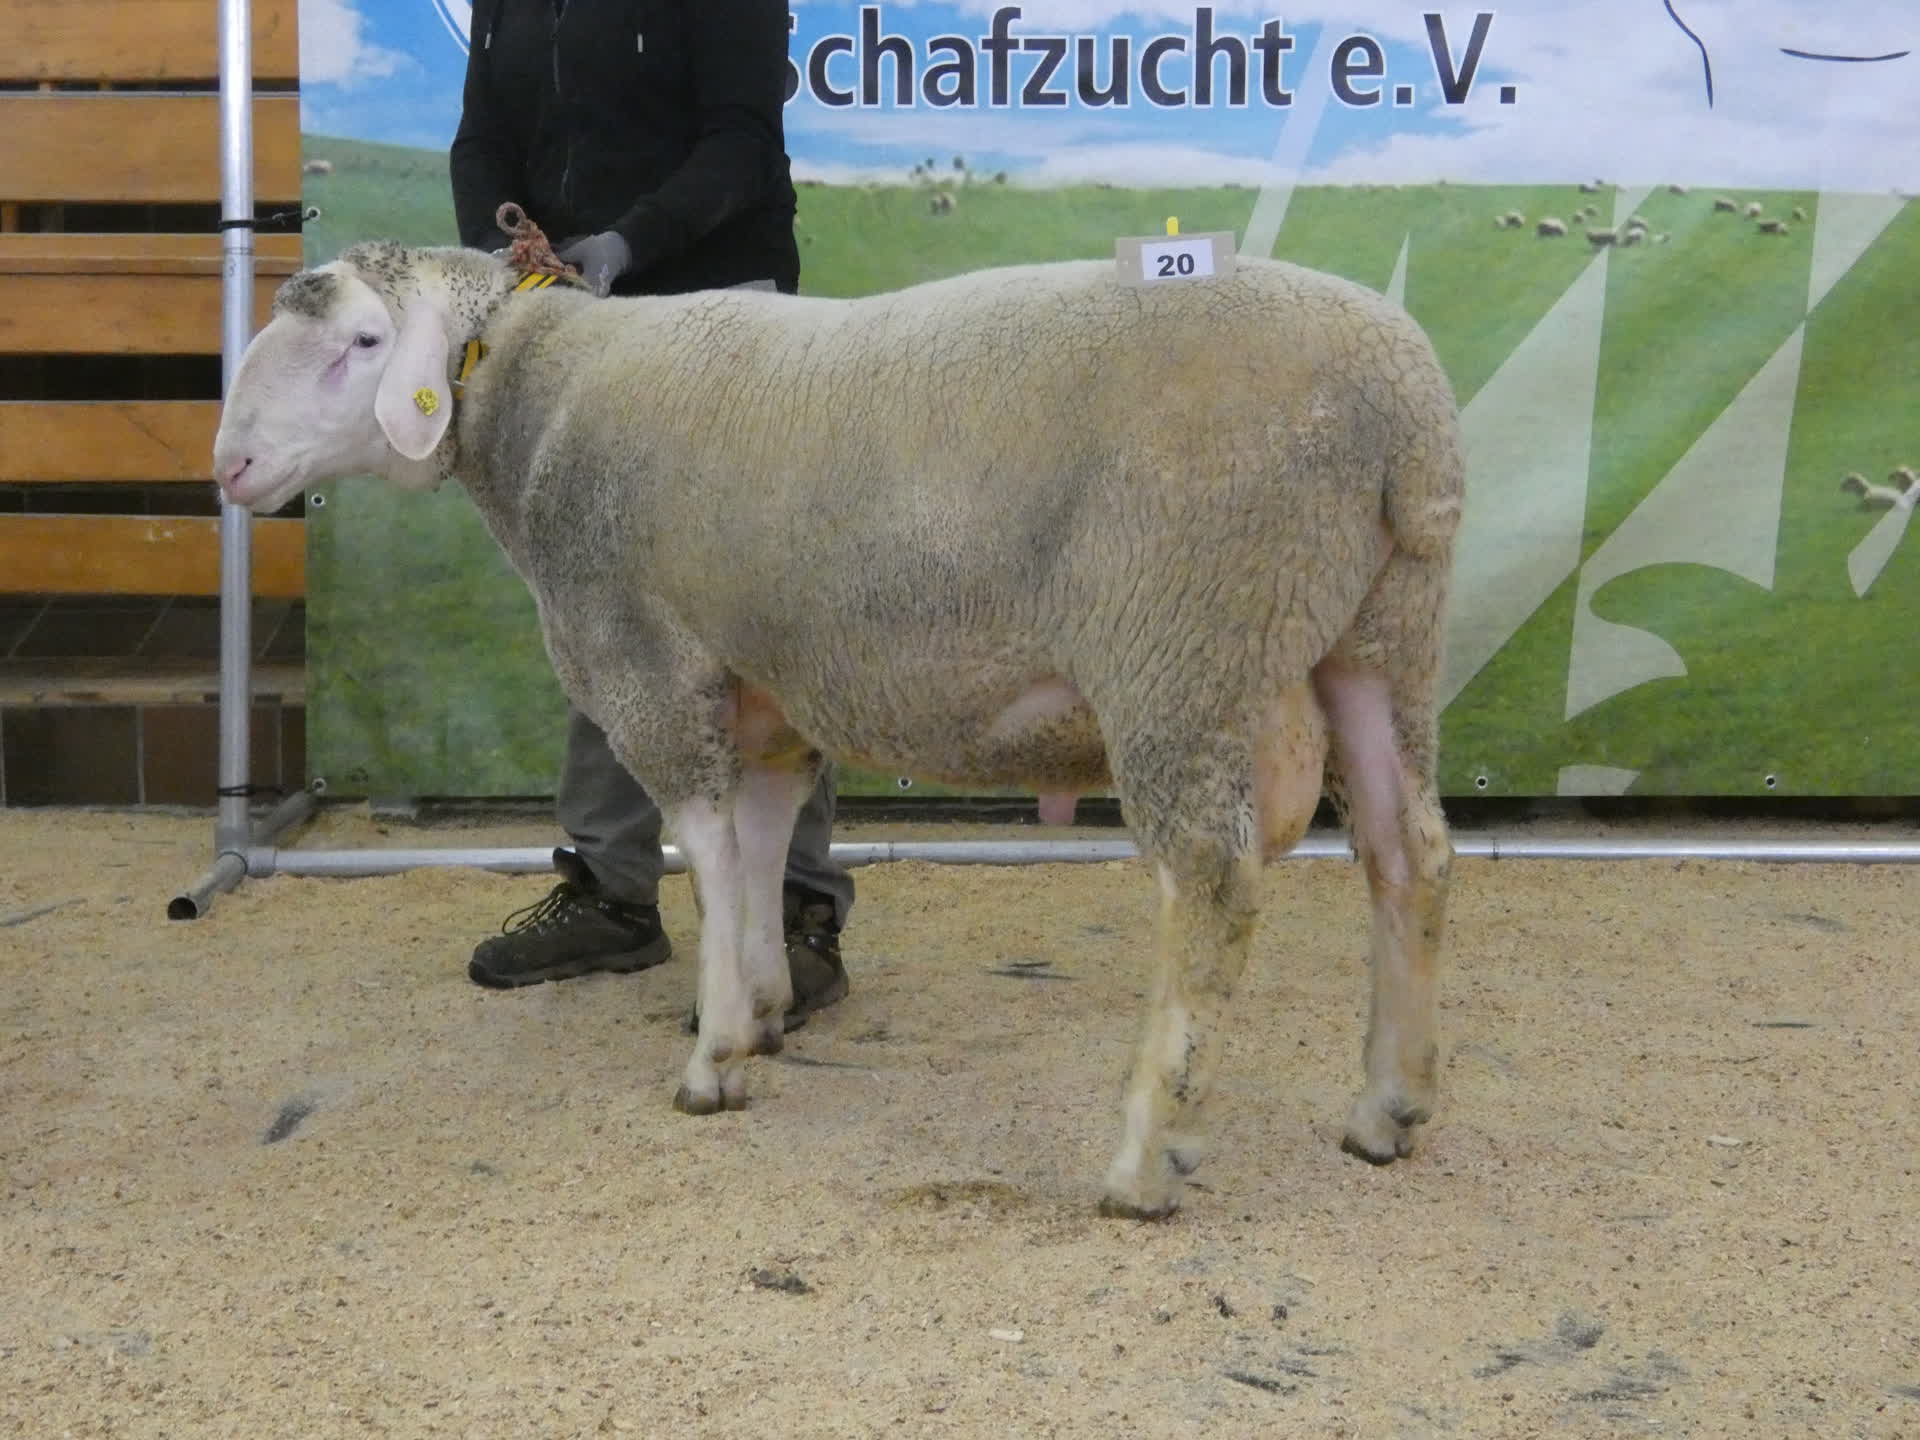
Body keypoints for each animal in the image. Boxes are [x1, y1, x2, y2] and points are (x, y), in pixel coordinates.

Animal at [211, 238, 1467, 1220]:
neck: (538, 394)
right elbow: (762, 847)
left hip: (1183, 642)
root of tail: (1403, 416)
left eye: (363, 341)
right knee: (1410, 853)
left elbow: (710, 855)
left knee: (1210, 887)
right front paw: (767, 1007)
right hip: (1378, 635)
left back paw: (1142, 1159)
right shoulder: (771, 694)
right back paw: (1387, 1109)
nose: (229, 465)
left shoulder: (651, 668)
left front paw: (714, 1055)